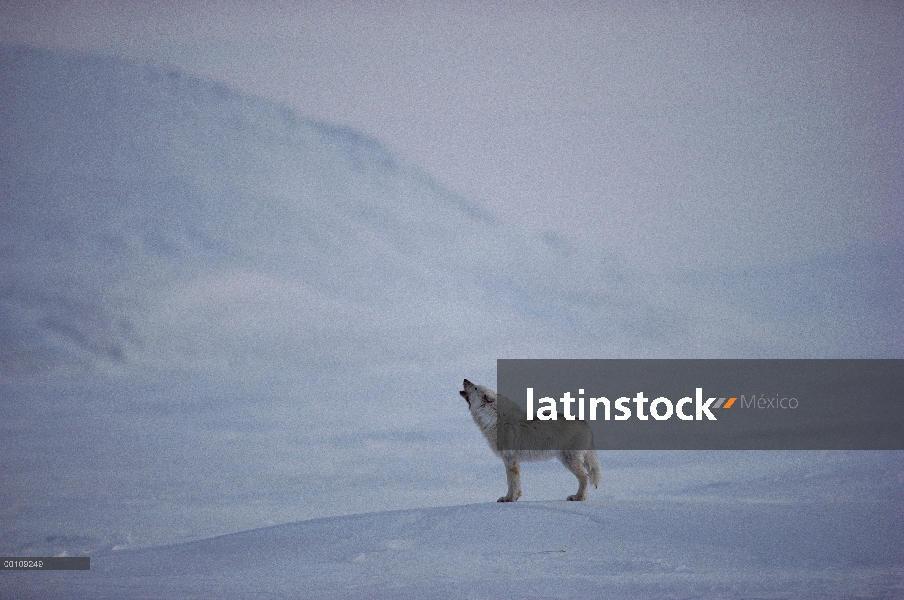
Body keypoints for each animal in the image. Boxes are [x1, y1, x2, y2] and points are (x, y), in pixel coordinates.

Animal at [462, 380, 604, 502]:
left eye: (475, 387)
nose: (464, 379)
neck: (492, 419)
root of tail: (585, 424)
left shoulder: (510, 460)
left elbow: (511, 482)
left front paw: (509, 499)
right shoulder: (513, 461)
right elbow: (514, 483)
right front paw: (513, 498)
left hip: (570, 460)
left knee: (585, 478)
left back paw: (578, 497)